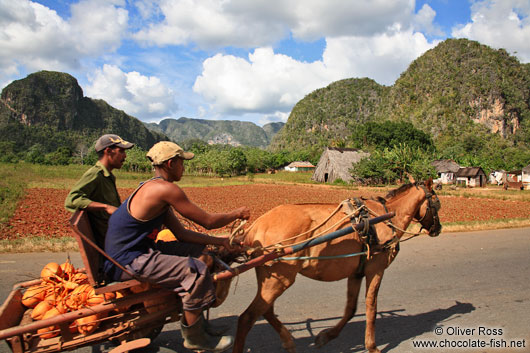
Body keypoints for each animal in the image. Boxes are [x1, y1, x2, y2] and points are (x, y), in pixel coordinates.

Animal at [231, 179, 442, 352]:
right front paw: (372, 346)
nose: (438, 229)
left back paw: (288, 341)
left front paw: (327, 336)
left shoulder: (356, 273)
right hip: (280, 279)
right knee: (247, 317)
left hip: (270, 278)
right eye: (437, 203)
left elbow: (350, 308)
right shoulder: (376, 269)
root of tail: (257, 224)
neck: (387, 217)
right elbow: (371, 306)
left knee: (265, 311)